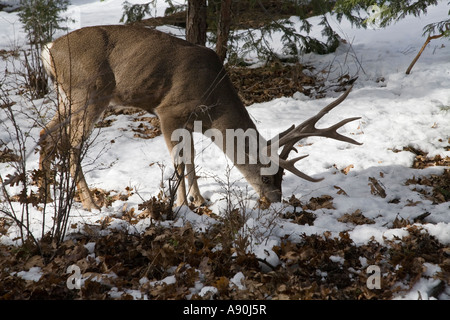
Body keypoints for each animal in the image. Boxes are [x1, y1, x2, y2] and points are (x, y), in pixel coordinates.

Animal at [38, 24, 362, 210]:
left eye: (282, 177)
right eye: (268, 176)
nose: (276, 200)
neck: (213, 101)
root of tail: (48, 48)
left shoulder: (191, 122)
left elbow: (191, 159)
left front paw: (199, 199)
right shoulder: (168, 111)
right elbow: (179, 162)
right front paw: (183, 204)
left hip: (68, 96)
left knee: (46, 134)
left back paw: (45, 195)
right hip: (89, 91)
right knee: (72, 145)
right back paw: (90, 203)